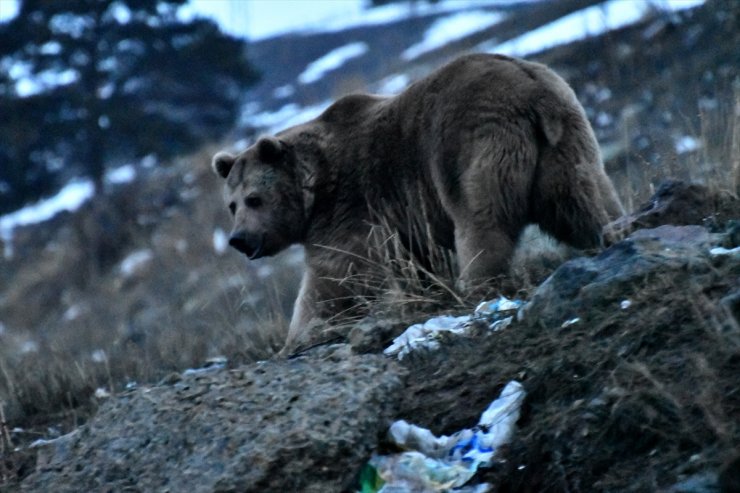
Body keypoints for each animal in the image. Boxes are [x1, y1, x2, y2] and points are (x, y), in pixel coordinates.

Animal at [214, 52, 624, 346]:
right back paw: (609, 233)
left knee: (481, 219)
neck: (314, 189)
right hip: (564, 141)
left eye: (254, 199)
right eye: (232, 205)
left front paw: (298, 334)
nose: (239, 239)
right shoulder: (400, 220)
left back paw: (477, 285)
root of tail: (532, 90)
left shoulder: (348, 208)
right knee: (581, 199)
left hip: (469, 144)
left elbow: (337, 273)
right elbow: (415, 264)